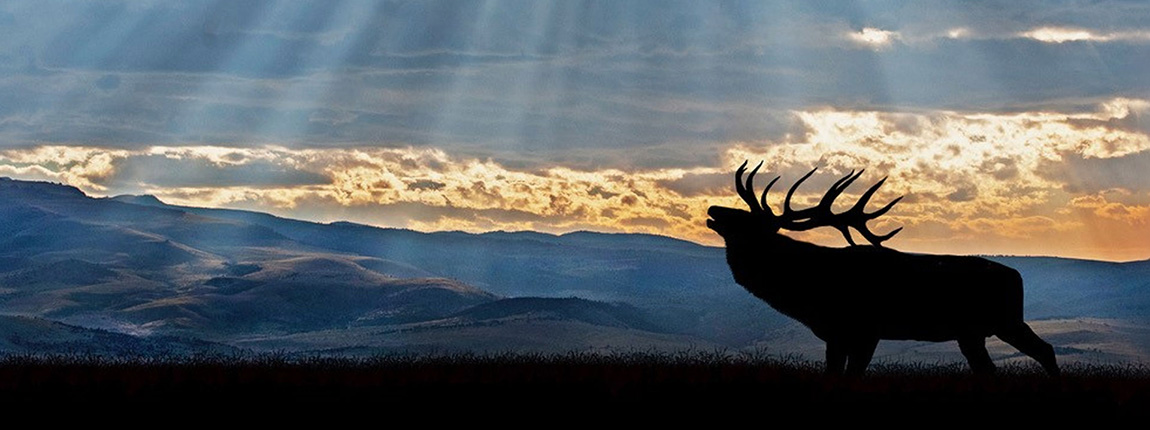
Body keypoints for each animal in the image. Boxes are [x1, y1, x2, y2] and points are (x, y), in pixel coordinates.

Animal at [708, 160, 1058, 377]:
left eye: (748, 221)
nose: (713, 209)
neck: (806, 293)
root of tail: (1016, 277)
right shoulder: (836, 334)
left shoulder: (866, 329)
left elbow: (851, 375)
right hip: (974, 332)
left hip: (1005, 321)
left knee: (1045, 350)